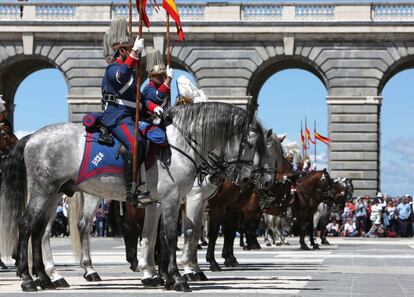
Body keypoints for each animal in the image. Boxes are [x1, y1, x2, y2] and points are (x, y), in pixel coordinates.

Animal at [0, 102, 268, 292]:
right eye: (250, 144)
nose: (247, 178)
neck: (179, 145)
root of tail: (32, 137)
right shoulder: (173, 199)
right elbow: (172, 236)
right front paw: (179, 278)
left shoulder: (161, 202)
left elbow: (155, 237)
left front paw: (162, 276)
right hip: (43, 191)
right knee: (27, 226)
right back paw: (28, 279)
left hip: (54, 193)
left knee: (39, 231)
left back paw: (47, 278)